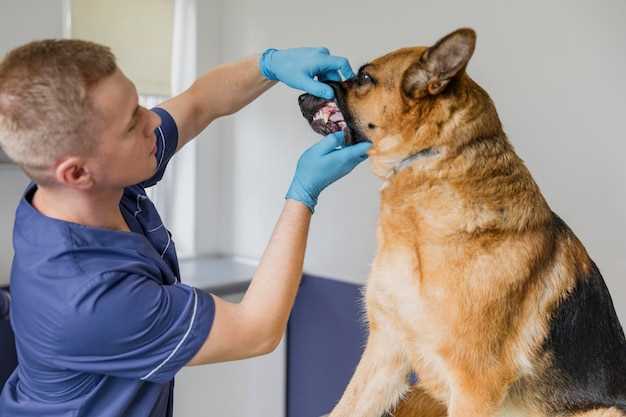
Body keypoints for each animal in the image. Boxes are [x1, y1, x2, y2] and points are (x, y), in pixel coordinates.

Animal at [296, 29, 624, 416]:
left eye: (363, 77)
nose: (301, 94)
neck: (430, 161)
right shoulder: (385, 352)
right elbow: (344, 407)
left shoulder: (474, 386)